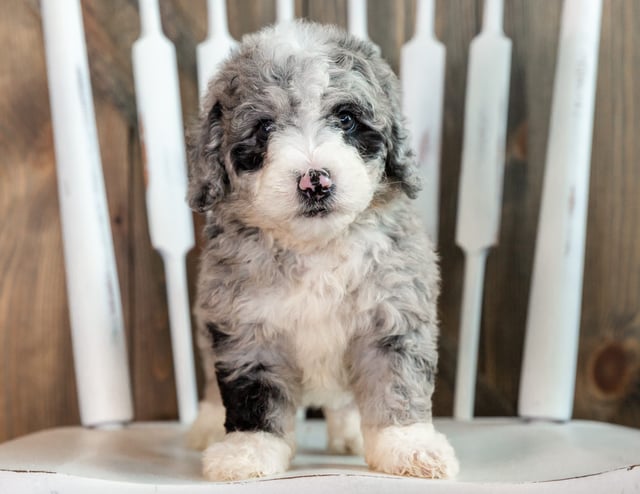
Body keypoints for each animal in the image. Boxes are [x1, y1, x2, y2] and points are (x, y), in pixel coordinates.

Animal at [188, 21, 458, 480]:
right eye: (264, 128)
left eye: (346, 119)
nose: (315, 180)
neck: (316, 246)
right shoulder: (244, 327)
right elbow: (254, 397)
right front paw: (247, 451)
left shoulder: (394, 315)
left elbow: (398, 385)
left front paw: (409, 446)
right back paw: (207, 426)